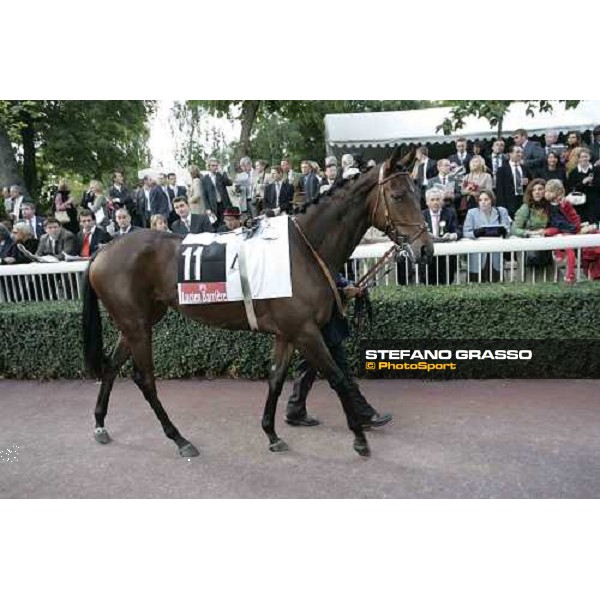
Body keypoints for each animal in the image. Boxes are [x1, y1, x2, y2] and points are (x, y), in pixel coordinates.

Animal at [82, 148, 434, 458]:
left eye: (417, 193)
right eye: (398, 196)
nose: (426, 249)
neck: (303, 248)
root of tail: (102, 250)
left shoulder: (288, 333)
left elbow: (276, 379)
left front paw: (272, 433)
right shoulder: (305, 331)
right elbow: (337, 377)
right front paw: (360, 439)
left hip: (138, 321)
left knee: (112, 366)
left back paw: (100, 424)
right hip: (137, 325)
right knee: (145, 380)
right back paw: (180, 439)